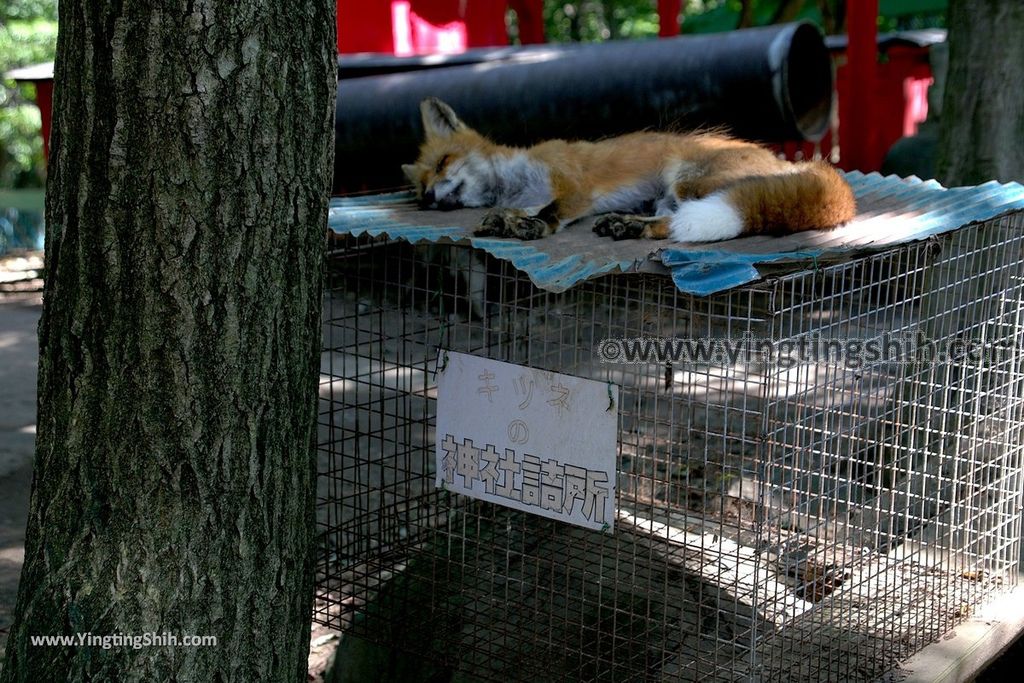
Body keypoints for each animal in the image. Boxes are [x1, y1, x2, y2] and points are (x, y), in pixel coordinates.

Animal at [399, 98, 856, 242]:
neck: (516, 184)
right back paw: (628, 225)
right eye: (420, 189)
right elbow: (517, 212)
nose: (431, 199)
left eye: (442, 163)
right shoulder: (532, 195)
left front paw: (536, 226)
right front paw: (504, 221)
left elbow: (554, 211)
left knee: (682, 225)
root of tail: (789, 162)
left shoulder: (571, 182)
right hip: (667, 197)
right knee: (669, 224)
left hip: (687, 181)